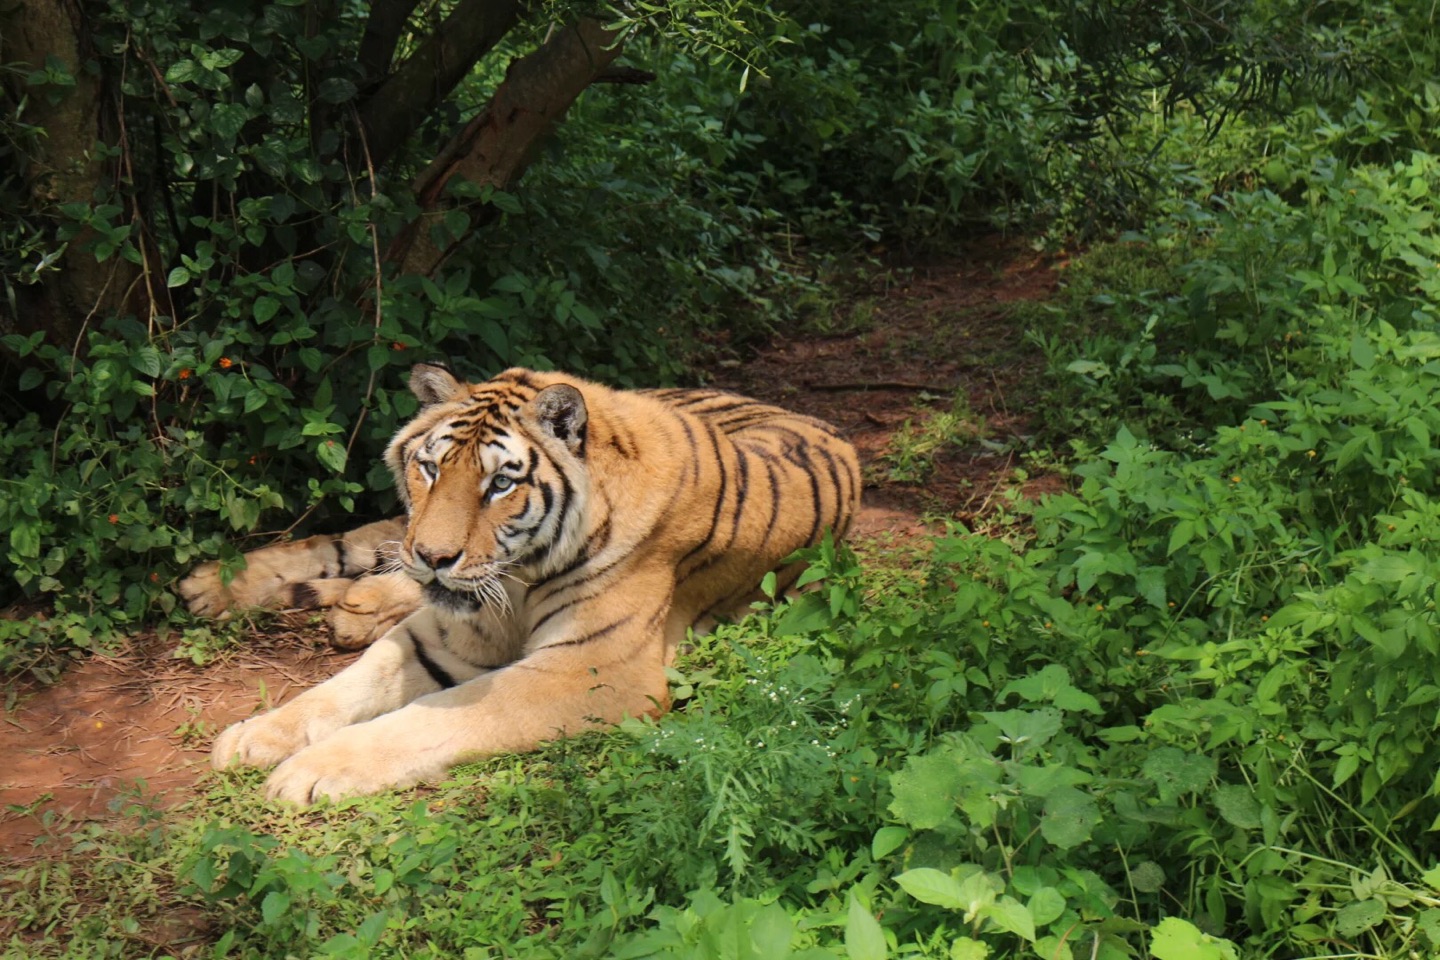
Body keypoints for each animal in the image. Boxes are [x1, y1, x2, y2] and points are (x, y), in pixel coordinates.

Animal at [175, 362, 858, 805]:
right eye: (430, 468)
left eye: (500, 483)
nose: (435, 556)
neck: (519, 580)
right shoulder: (442, 634)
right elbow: (341, 688)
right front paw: (255, 735)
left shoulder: (593, 672)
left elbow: (424, 718)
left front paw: (309, 771)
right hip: (397, 534)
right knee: (357, 542)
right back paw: (212, 586)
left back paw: (354, 604)